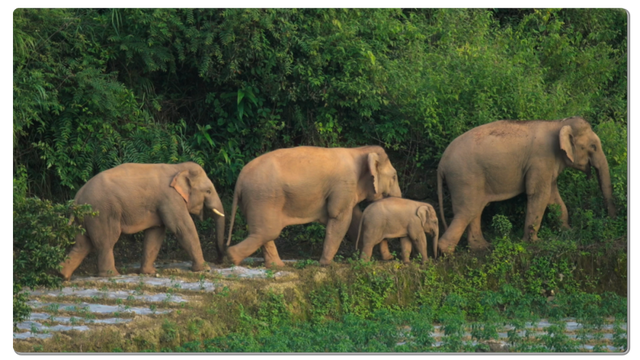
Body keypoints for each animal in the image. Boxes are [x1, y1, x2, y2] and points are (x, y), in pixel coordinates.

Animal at [57, 162, 226, 280]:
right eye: (208, 191)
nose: (218, 261)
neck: (178, 167)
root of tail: (77, 198)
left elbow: (155, 233)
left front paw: (149, 273)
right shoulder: (170, 198)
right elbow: (182, 227)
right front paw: (205, 269)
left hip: (84, 217)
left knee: (82, 244)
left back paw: (62, 275)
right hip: (101, 213)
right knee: (105, 242)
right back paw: (112, 275)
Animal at [228, 146, 402, 268]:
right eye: (394, 176)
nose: (392, 258)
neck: (360, 150)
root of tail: (239, 179)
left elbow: (355, 219)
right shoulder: (344, 184)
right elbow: (340, 217)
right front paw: (328, 264)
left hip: (256, 200)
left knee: (265, 232)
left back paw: (277, 266)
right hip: (263, 197)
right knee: (268, 231)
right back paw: (231, 257)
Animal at [438, 116, 616, 255]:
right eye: (593, 146)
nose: (609, 219)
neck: (558, 123)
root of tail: (441, 162)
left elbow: (552, 196)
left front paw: (567, 231)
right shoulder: (540, 160)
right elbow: (539, 194)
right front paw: (533, 242)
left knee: (476, 209)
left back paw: (482, 247)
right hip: (464, 177)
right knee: (468, 210)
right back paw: (447, 252)